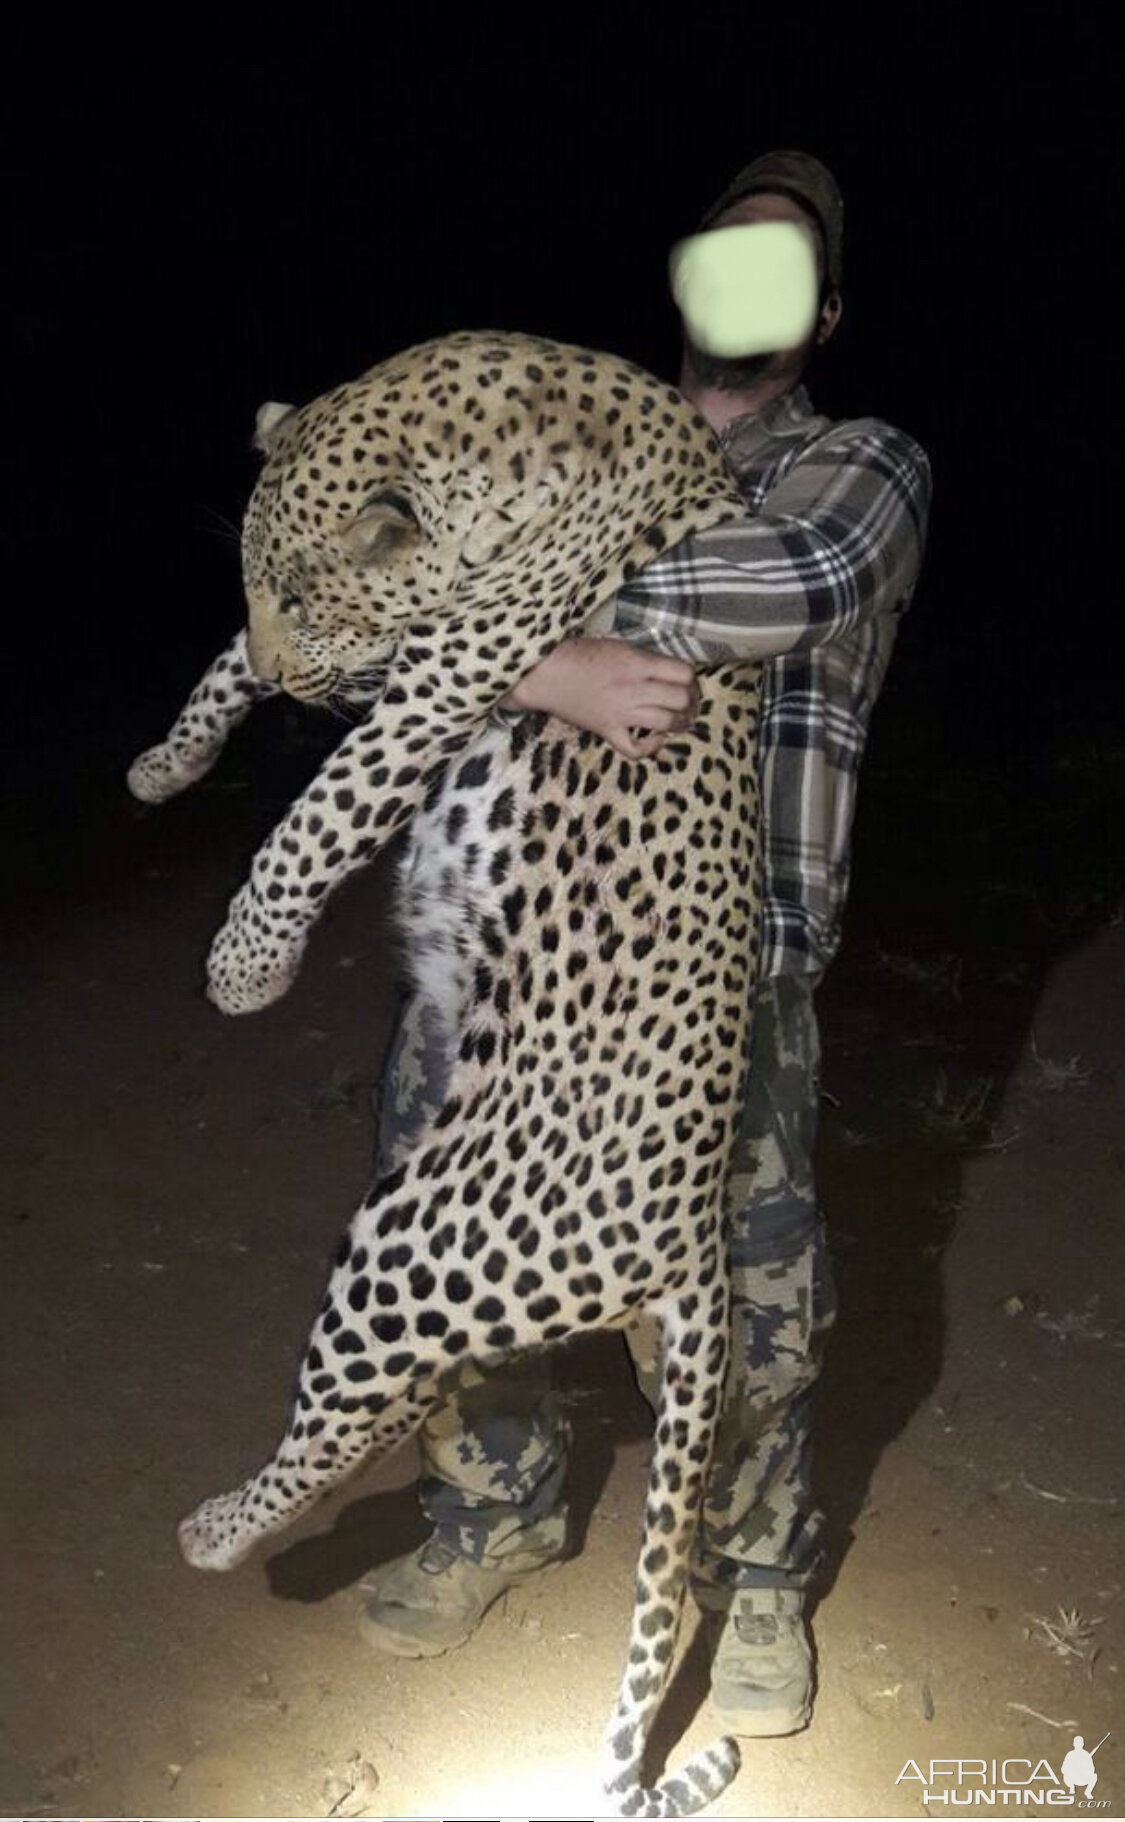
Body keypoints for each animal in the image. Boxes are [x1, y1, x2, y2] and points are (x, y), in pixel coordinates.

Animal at [129, 331, 762, 1822]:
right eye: (254, 578)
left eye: (305, 583)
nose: (288, 668)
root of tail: (695, 1239)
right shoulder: (394, 648)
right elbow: (223, 668)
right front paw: (170, 759)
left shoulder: (454, 659)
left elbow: (327, 806)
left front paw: (246, 962)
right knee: (419, 1396)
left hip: (408, 1240)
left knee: (345, 1420)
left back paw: (218, 1530)